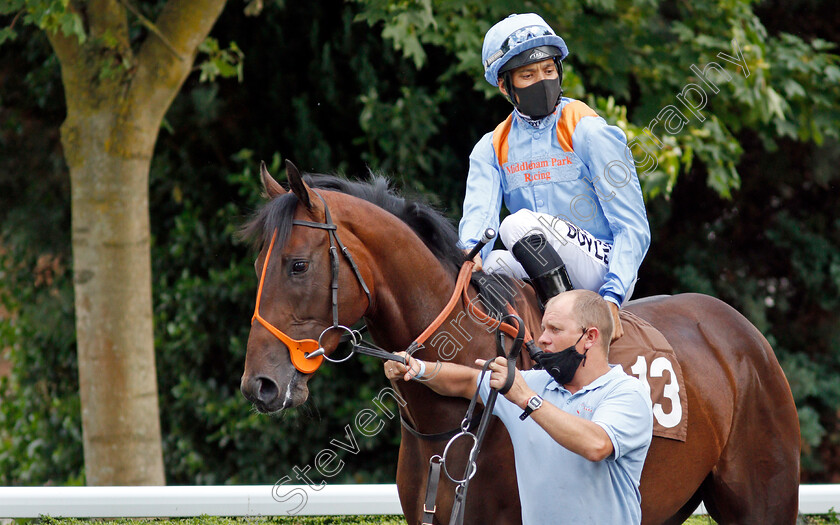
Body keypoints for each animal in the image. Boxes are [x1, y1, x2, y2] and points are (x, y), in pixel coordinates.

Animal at [238, 162, 800, 520]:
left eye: (297, 265)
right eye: (258, 265)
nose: (259, 385)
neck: (446, 420)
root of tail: (743, 333)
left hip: (764, 500)